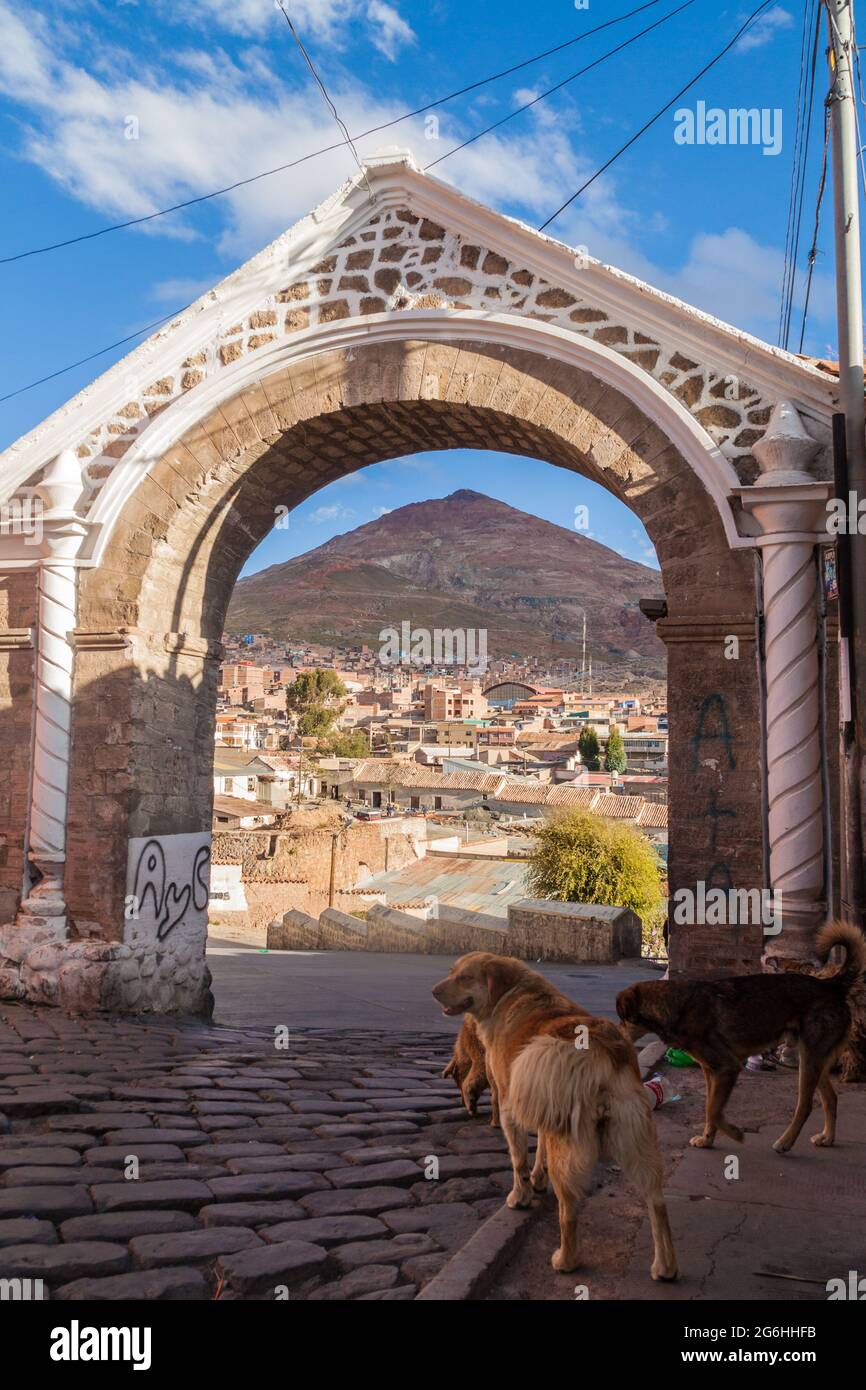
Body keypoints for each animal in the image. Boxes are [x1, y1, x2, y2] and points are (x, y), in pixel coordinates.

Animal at [433, 950, 678, 1273]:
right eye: (451, 971)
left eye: (465, 977)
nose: (434, 991)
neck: (511, 994)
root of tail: (603, 1053)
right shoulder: (543, 1103)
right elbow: (540, 1151)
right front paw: (538, 1180)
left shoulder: (512, 1108)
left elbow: (519, 1162)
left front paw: (521, 1196)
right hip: (637, 1142)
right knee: (657, 1202)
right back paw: (665, 1268)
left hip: (572, 1151)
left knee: (569, 1210)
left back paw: (565, 1260)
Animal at [617, 922, 866, 1150]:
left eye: (623, 1018)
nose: (616, 1034)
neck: (675, 1005)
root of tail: (831, 985)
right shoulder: (711, 1070)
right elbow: (710, 1106)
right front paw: (707, 1139)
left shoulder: (727, 1067)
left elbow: (712, 1109)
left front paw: (735, 1133)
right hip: (813, 1059)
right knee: (831, 1098)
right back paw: (827, 1137)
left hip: (810, 1060)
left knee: (805, 1106)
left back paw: (785, 1142)